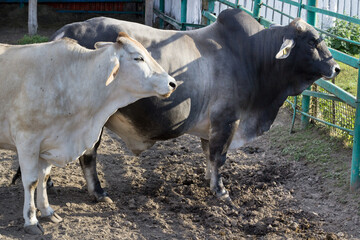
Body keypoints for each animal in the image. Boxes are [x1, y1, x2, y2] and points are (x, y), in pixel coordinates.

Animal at [0, 31, 177, 234]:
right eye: (138, 57)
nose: (172, 83)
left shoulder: (49, 142)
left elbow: (43, 178)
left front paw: (47, 211)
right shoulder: (27, 142)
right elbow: (31, 181)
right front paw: (31, 221)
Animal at [14, 9, 340, 204]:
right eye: (313, 41)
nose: (336, 68)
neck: (252, 57)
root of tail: (65, 32)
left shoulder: (212, 127)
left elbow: (209, 157)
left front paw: (209, 183)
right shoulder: (227, 120)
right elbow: (219, 158)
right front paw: (221, 192)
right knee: (87, 155)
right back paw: (98, 192)